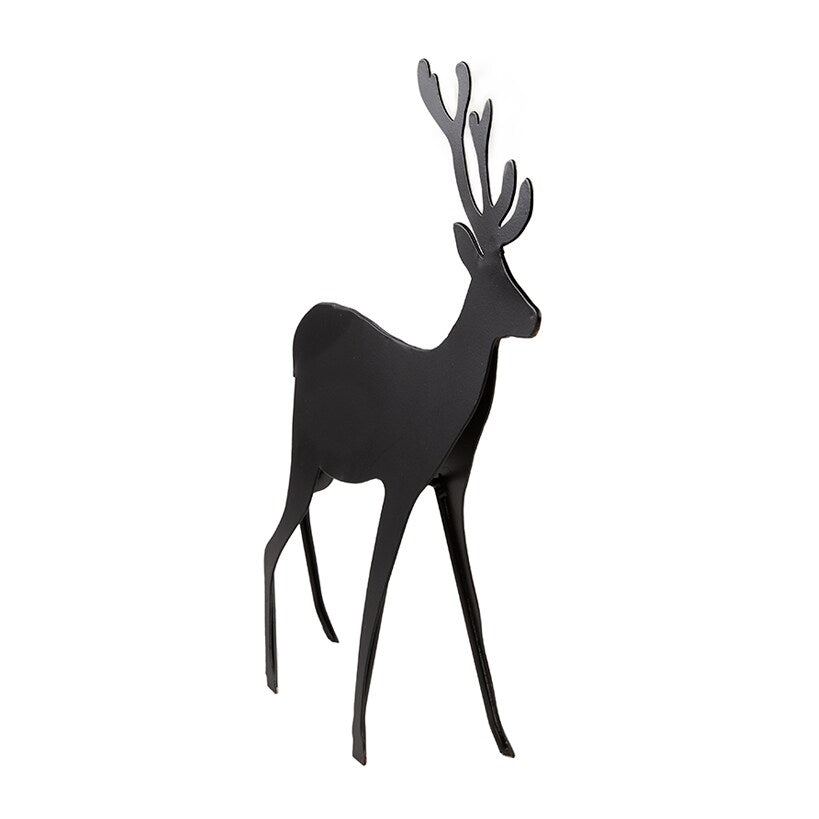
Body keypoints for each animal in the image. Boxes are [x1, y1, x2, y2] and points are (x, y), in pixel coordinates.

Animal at [264, 59, 540, 765]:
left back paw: (318, 631)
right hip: (302, 454)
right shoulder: (403, 478)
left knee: (296, 529)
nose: (536, 316)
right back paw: (272, 676)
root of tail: (298, 332)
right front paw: (359, 746)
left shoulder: (451, 484)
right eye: (492, 278)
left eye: (515, 270)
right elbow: (377, 600)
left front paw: (503, 740)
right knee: (268, 542)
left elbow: (473, 607)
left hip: (322, 469)